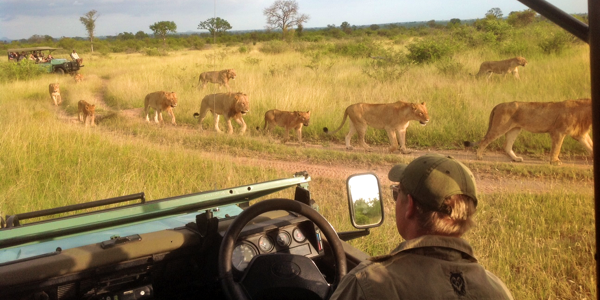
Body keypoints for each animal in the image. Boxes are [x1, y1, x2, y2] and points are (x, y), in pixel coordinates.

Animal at [462, 98, 592, 165]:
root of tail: (498, 105)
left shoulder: (581, 135)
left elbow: (590, 146)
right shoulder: (558, 132)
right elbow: (557, 147)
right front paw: (555, 161)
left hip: (514, 129)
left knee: (506, 145)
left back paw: (516, 159)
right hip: (500, 127)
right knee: (484, 140)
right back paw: (479, 156)